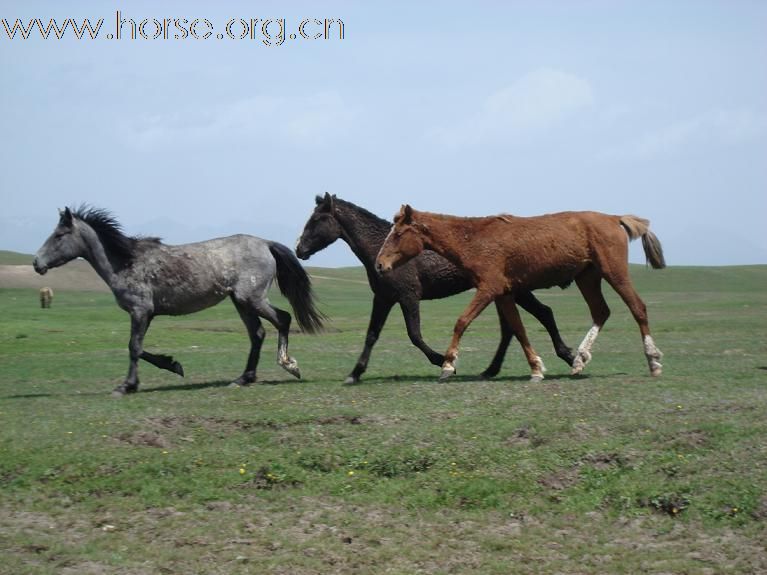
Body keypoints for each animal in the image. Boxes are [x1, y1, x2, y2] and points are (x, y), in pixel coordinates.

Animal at [35, 207, 324, 396]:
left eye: (59, 235)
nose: (37, 263)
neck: (125, 263)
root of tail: (265, 243)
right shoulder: (145, 314)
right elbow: (139, 348)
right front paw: (170, 366)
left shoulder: (140, 311)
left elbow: (134, 347)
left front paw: (128, 385)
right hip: (241, 302)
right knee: (258, 334)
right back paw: (243, 379)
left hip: (250, 298)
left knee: (282, 319)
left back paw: (289, 365)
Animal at [296, 195, 572, 388]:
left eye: (317, 220)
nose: (299, 249)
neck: (380, 250)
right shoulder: (384, 299)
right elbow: (372, 335)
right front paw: (354, 374)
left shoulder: (409, 297)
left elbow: (415, 335)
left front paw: (444, 362)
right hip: (503, 293)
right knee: (513, 327)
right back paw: (492, 370)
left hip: (513, 292)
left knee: (542, 314)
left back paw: (567, 355)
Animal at [378, 207, 664, 382]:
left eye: (399, 234)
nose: (380, 265)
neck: (475, 240)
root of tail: (614, 218)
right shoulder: (505, 293)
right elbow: (518, 328)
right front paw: (536, 368)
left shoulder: (489, 288)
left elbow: (462, 321)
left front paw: (447, 366)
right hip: (587, 277)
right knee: (601, 311)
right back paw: (579, 360)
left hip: (614, 272)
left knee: (638, 307)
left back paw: (653, 362)